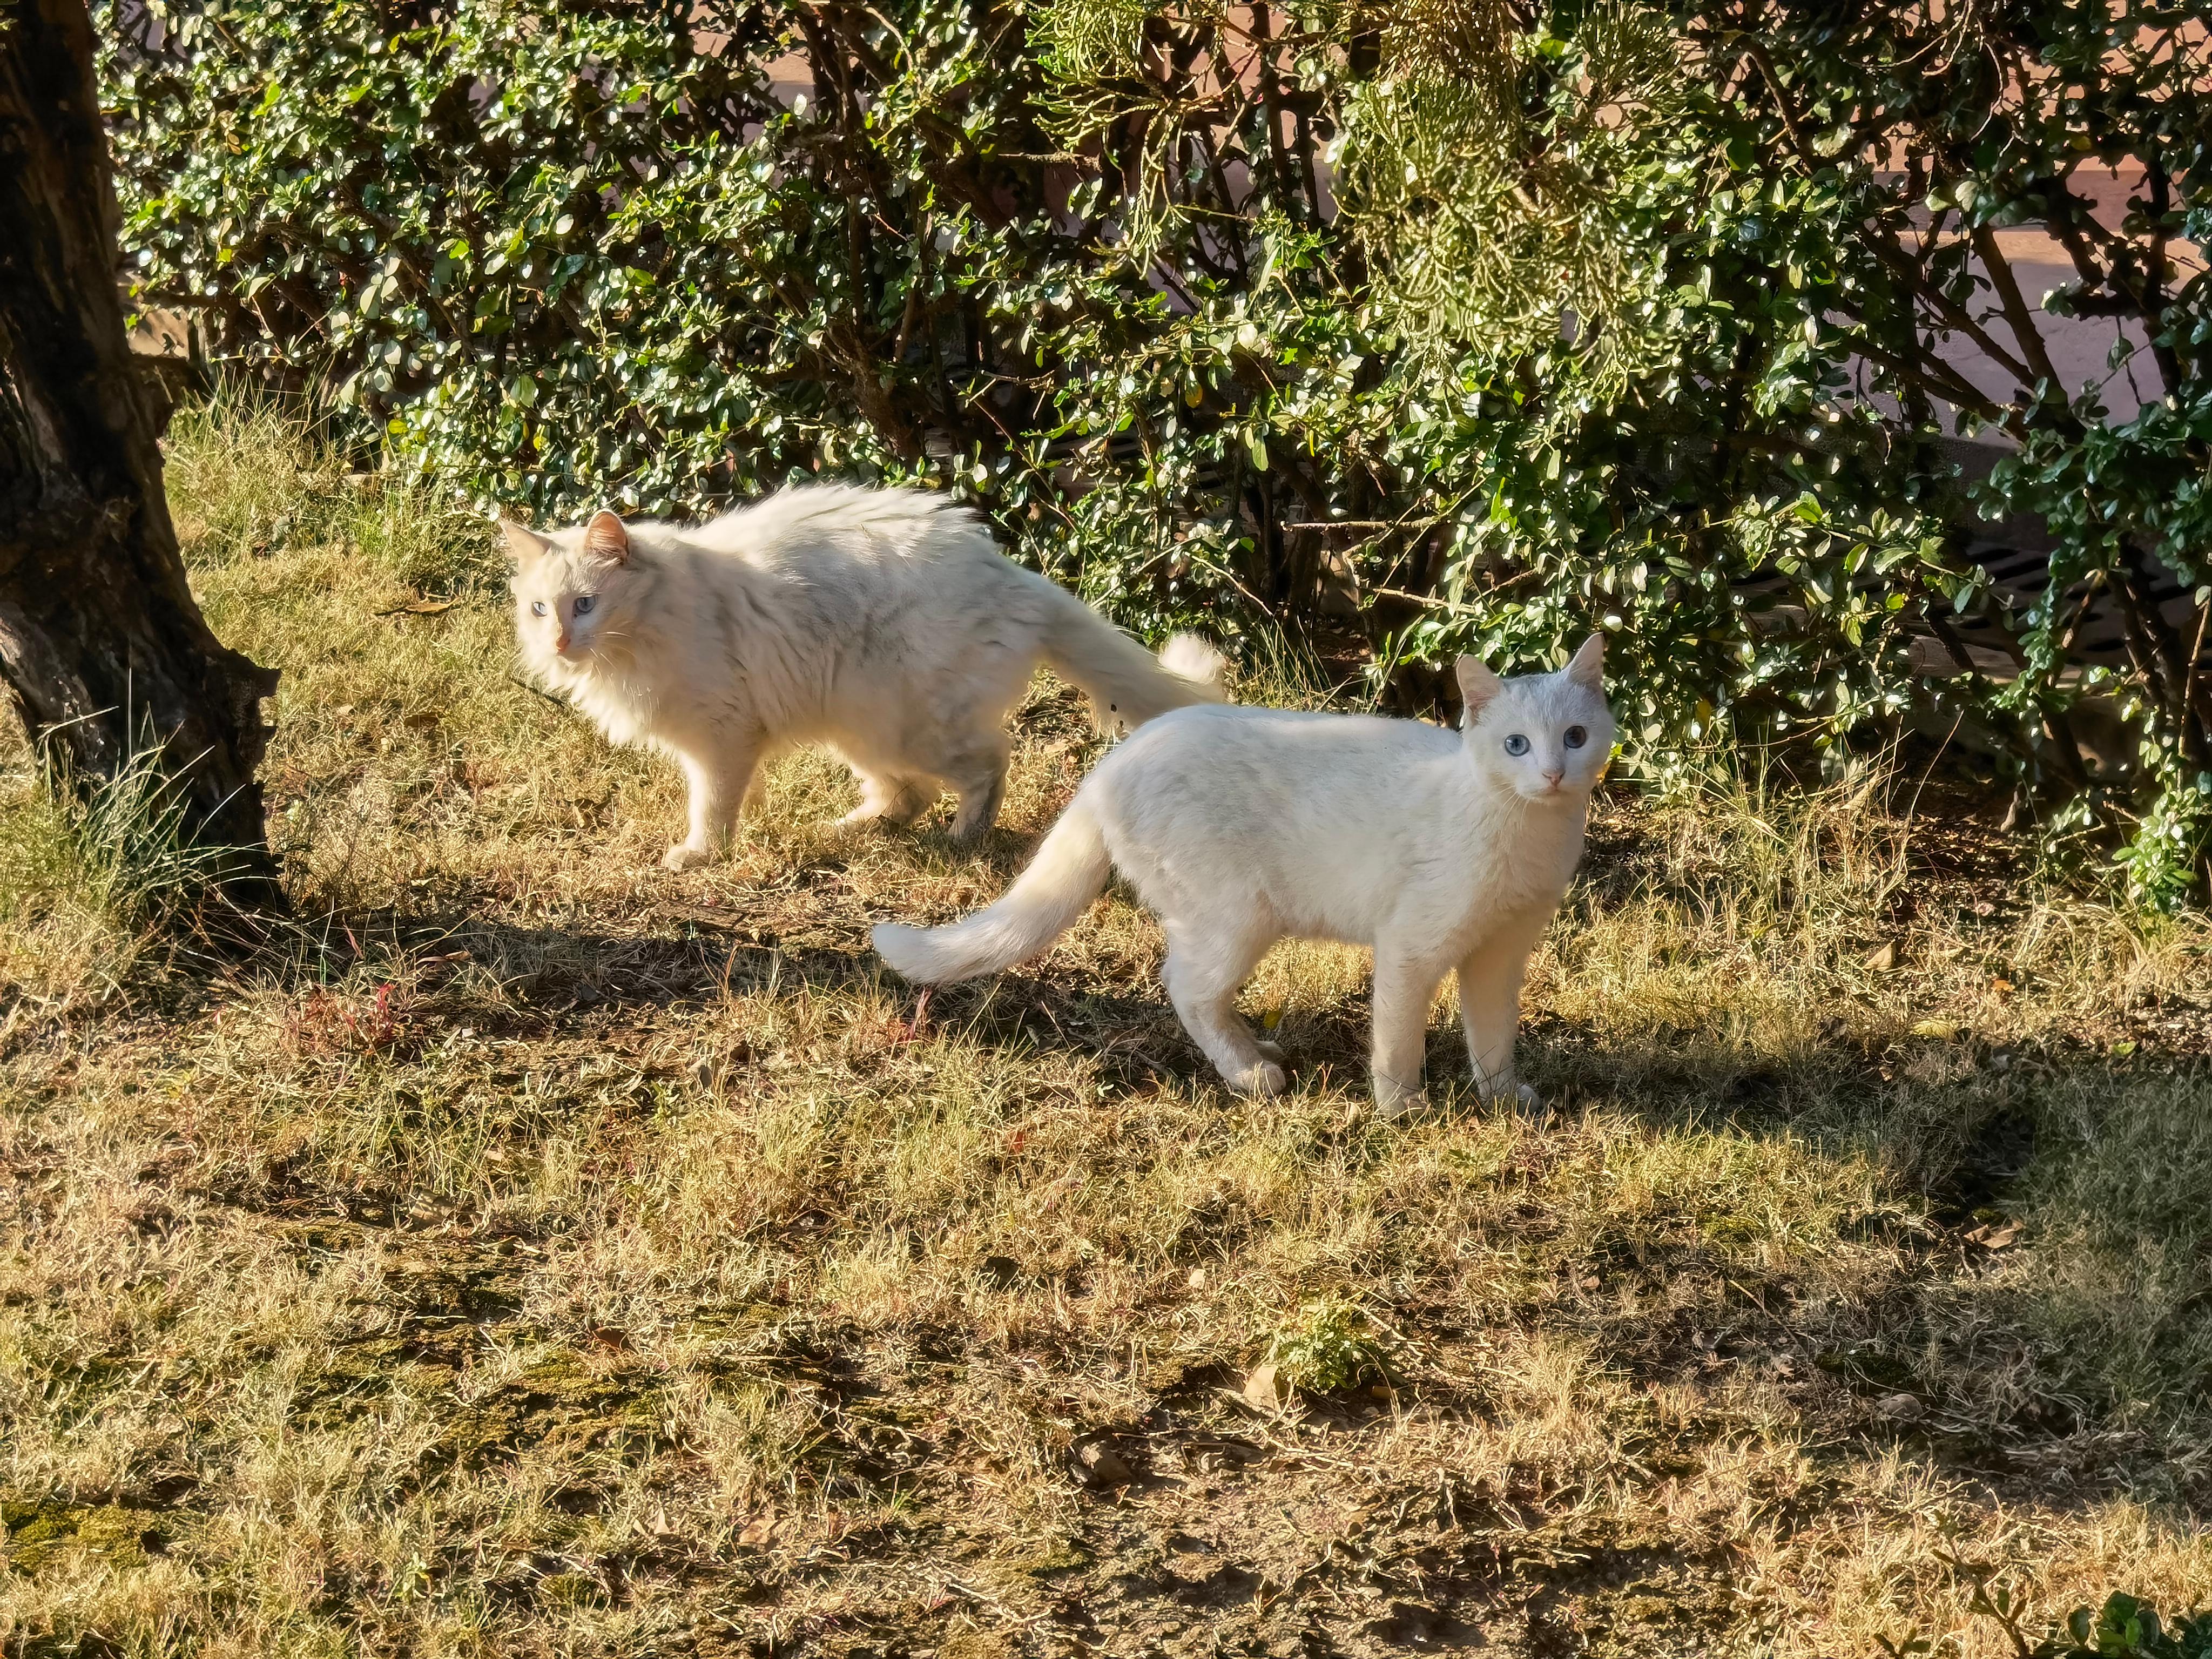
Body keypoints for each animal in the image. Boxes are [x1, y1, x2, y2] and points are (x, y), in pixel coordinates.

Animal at [504, 480, 1230, 871]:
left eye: (585, 605)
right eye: (540, 609)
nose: (559, 641)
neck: (657, 618)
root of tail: (1013, 573)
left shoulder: (722, 734)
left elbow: (711, 805)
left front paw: (702, 853)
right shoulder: (727, 740)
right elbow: (735, 796)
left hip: (903, 724)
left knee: (988, 764)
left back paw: (963, 838)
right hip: (856, 725)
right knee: (908, 796)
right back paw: (850, 829)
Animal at [871, 637, 1619, 1119]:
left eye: (1575, 737)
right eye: (1516, 745)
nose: (1552, 774)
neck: (1528, 835)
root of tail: (1113, 762)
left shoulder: (1500, 955)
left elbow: (1492, 1036)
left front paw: (1501, 1096)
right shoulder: (1410, 948)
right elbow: (1398, 1038)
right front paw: (1400, 1106)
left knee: (1201, 994)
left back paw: (1253, 1047)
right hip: (1235, 919)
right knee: (1186, 988)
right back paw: (1249, 1073)